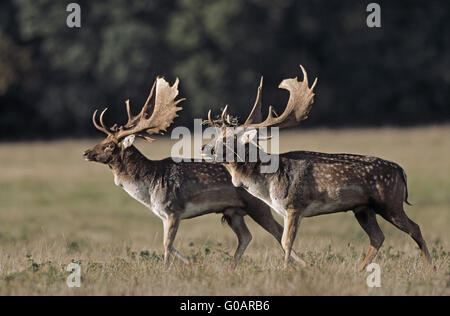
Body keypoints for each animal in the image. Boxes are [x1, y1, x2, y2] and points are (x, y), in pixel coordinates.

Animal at [203, 65, 432, 270]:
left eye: (229, 138)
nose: (205, 148)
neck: (266, 185)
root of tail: (402, 172)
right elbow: (283, 241)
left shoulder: (294, 205)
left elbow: (286, 242)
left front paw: (285, 271)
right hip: (363, 208)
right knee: (378, 237)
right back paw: (359, 270)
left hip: (390, 202)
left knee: (415, 228)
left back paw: (432, 268)